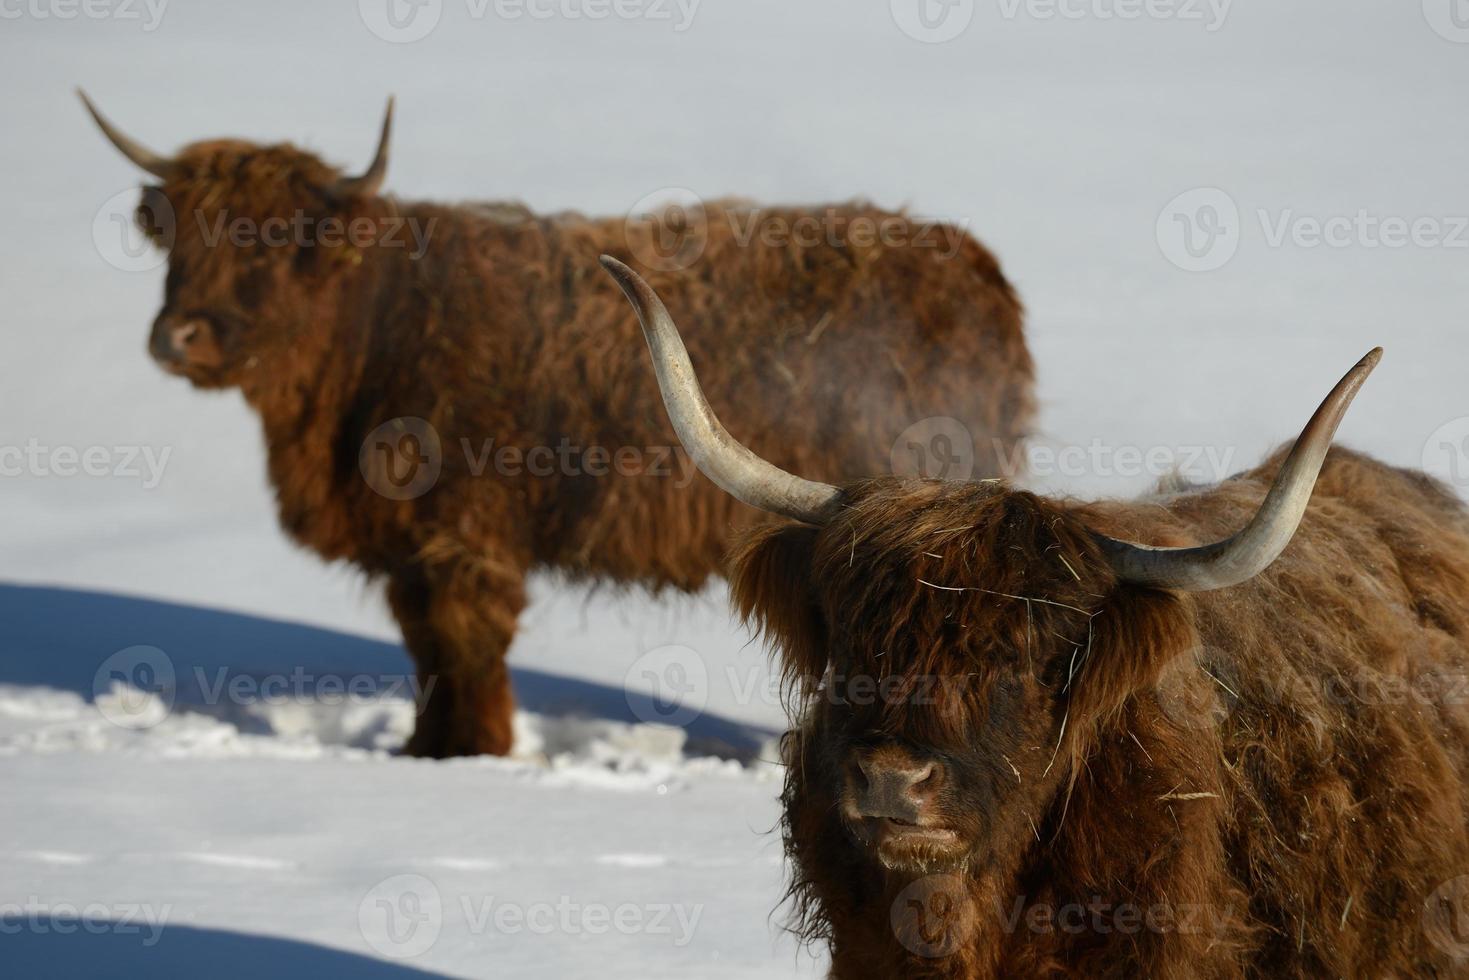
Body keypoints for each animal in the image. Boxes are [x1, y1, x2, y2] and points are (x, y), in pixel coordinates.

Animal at [80, 94, 1034, 758]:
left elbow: (467, 652)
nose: (179, 336)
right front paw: (423, 751)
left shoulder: (464, 541)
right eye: (180, 237)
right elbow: (428, 652)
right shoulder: (413, 551)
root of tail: (974, 273)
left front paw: (471, 756)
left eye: (273, 239)